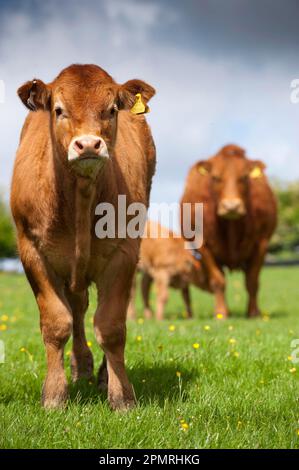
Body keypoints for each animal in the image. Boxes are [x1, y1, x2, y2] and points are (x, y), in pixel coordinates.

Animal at [11, 64, 157, 410]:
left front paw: (121, 396)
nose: (89, 144)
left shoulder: (124, 252)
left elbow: (111, 325)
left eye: (112, 109)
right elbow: (56, 322)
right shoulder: (31, 251)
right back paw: (80, 367)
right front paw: (54, 395)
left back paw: (102, 374)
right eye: (58, 109)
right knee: (77, 309)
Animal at [179, 145, 278, 318]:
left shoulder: (261, 243)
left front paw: (254, 313)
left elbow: (252, 281)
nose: (231, 206)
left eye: (244, 177)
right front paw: (221, 313)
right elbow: (218, 280)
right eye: (216, 177)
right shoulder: (203, 245)